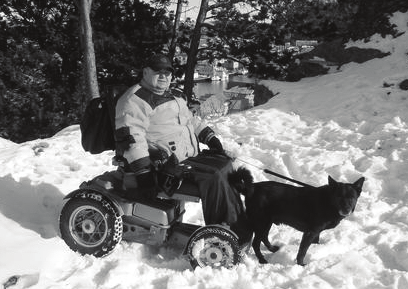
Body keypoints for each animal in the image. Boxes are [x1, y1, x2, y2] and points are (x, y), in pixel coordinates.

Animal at [228, 166, 364, 266]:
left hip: (267, 222)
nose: (346, 209)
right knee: (256, 243)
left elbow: (315, 242)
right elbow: (302, 251)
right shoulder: (310, 232)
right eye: (339, 196)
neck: (328, 202)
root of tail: (250, 188)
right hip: (262, 222)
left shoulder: (315, 232)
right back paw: (262, 260)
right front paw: (301, 265)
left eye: (351, 197)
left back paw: (272, 249)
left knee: (264, 238)